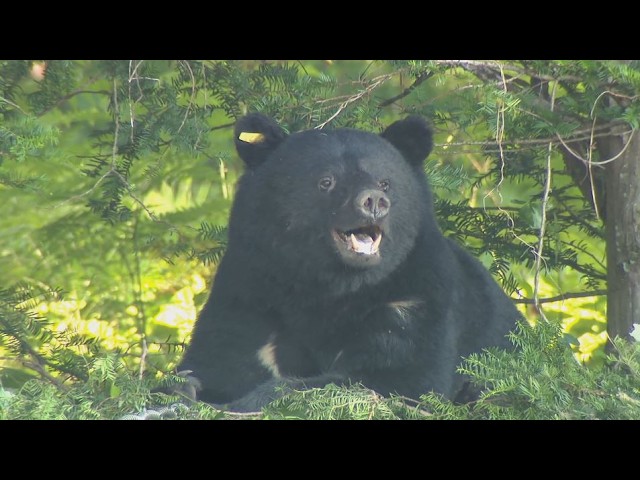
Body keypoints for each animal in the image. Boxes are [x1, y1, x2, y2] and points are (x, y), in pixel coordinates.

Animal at [177, 113, 522, 412]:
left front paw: (259, 397)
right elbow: (221, 358)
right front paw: (186, 387)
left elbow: (401, 377)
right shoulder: (250, 290)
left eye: (385, 182)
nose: (374, 201)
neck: (333, 286)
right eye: (326, 181)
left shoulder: (416, 297)